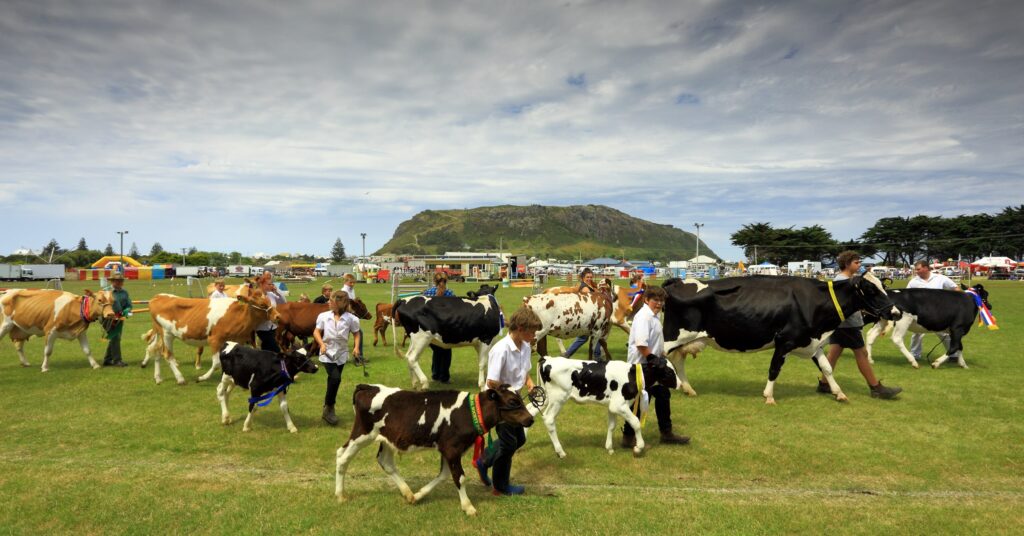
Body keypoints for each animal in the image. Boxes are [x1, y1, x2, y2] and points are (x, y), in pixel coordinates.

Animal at [139, 284, 280, 385]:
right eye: (262, 304)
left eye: (269, 301)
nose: (278, 316)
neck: (237, 315)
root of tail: (157, 297)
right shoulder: (215, 339)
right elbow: (216, 363)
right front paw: (202, 378)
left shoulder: (236, 341)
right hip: (166, 333)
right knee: (167, 355)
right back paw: (180, 379)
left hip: (160, 332)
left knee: (156, 351)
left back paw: (158, 378)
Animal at [335, 383, 536, 518]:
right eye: (512, 401)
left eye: (520, 398)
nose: (530, 419)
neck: (468, 413)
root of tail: (367, 387)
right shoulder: (452, 449)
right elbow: (459, 478)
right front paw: (468, 506)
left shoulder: (448, 449)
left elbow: (444, 475)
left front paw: (419, 495)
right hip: (362, 433)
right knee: (342, 456)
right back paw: (340, 495)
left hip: (388, 439)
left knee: (385, 461)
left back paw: (408, 493)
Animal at [536, 354, 679, 459]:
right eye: (669, 372)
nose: (679, 384)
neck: (632, 375)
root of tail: (548, 359)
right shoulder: (619, 405)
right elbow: (636, 422)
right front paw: (638, 448)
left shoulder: (612, 406)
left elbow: (611, 426)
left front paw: (609, 448)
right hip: (558, 398)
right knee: (549, 419)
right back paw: (560, 452)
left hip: (545, 398)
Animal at [655, 274, 897, 405]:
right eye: (871, 290)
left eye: (883, 287)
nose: (894, 312)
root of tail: (676, 281)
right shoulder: (785, 340)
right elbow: (774, 368)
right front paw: (769, 396)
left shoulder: (811, 342)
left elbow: (827, 368)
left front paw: (839, 393)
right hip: (672, 337)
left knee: (677, 360)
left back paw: (688, 388)